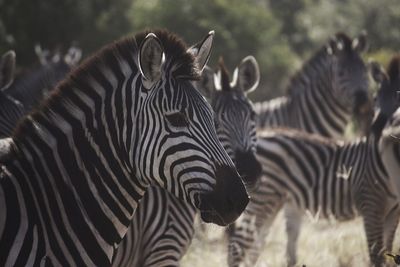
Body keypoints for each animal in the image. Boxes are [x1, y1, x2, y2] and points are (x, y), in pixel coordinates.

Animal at [227, 57, 400, 266]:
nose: (376, 132)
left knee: (254, 246)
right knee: (238, 247)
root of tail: (261, 135)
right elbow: (376, 256)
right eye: (375, 98)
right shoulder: (370, 204)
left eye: (398, 98)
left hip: (272, 201)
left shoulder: (393, 213)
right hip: (261, 199)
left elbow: (387, 252)